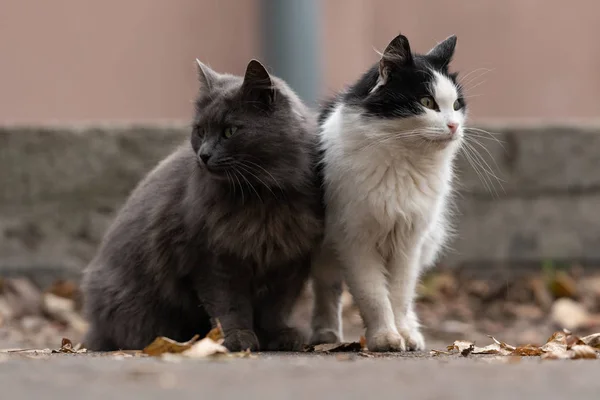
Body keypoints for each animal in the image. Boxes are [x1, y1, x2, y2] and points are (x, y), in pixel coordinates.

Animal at [82, 58, 326, 350]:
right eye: (200, 131)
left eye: (230, 130)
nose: (204, 155)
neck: (262, 198)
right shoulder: (211, 259)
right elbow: (229, 305)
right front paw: (236, 338)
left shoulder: (289, 262)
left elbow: (276, 308)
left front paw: (280, 336)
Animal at [312, 36, 466, 352]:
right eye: (427, 102)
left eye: (457, 105)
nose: (454, 126)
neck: (402, 162)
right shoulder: (355, 241)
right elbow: (373, 296)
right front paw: (384, 338)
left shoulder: (408, 241)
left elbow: (399, 296)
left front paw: (403, 335)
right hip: (325, 252)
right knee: (327, 289)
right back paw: (326, 335)